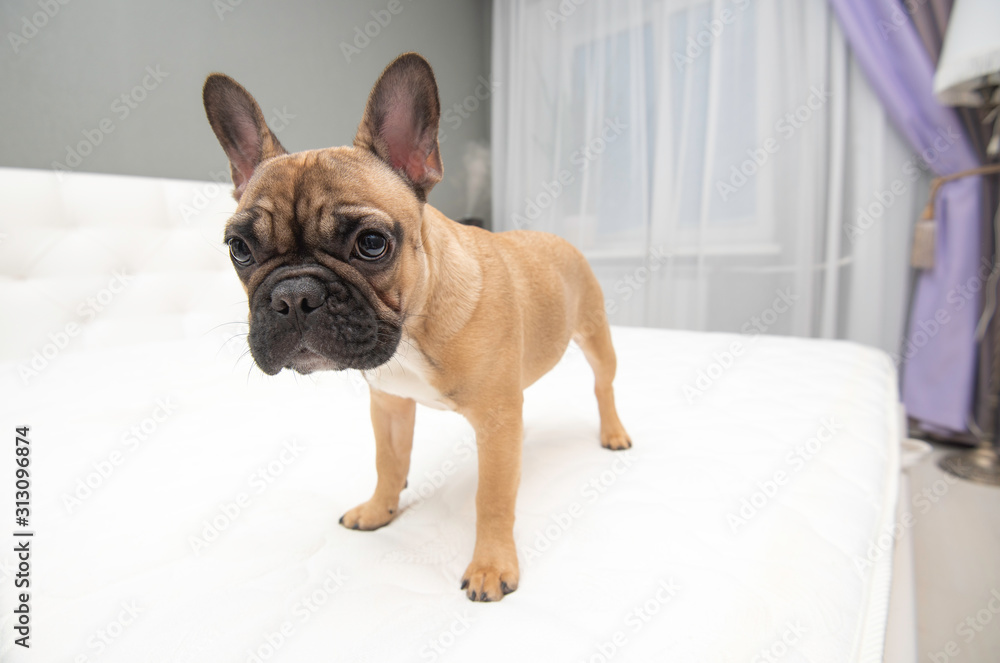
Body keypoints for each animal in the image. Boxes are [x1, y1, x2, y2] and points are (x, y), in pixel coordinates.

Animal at [200, 53, 628, 600]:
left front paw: (491, 566)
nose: (294, 296)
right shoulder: (389, 404)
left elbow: (493, 498)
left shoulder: (495, 422)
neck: (412, 329)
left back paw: (613, 432)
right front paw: (379, 510)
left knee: (603, 385)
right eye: (240, 249)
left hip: (595, 337)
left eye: (372, 243)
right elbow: (389, 463)